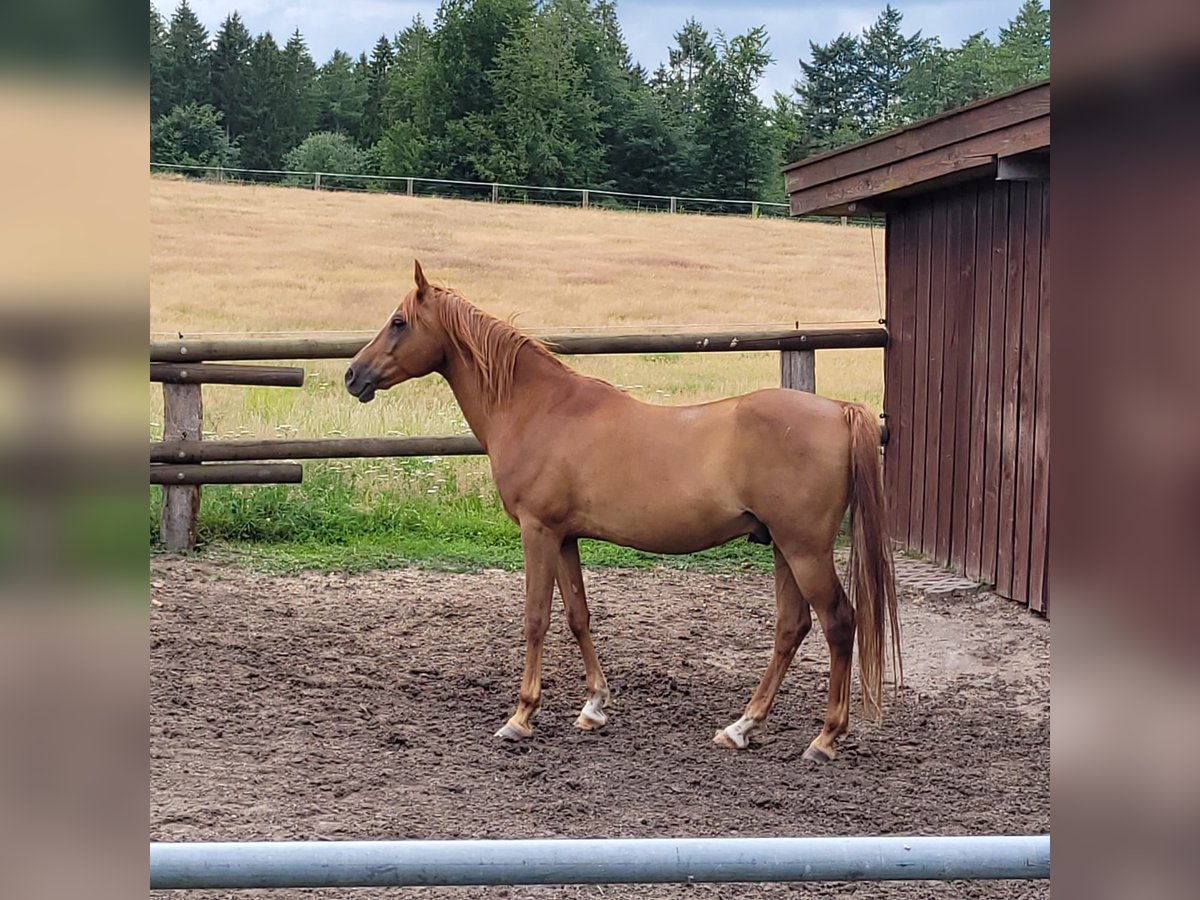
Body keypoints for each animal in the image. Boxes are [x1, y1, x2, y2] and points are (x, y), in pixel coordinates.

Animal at [343, 264, 897, 763]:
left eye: (398, 321)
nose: (352, 375)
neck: (538, 409)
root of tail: (838, 410)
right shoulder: (565, 536)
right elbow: (577, 616)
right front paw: (594, 705)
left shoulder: (537, 531)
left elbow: (536, 618)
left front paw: (521, 716)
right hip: (783, 547)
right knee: (790, 627)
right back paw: (741, 727)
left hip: (805, 550)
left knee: (838, 623)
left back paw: (825, 738)